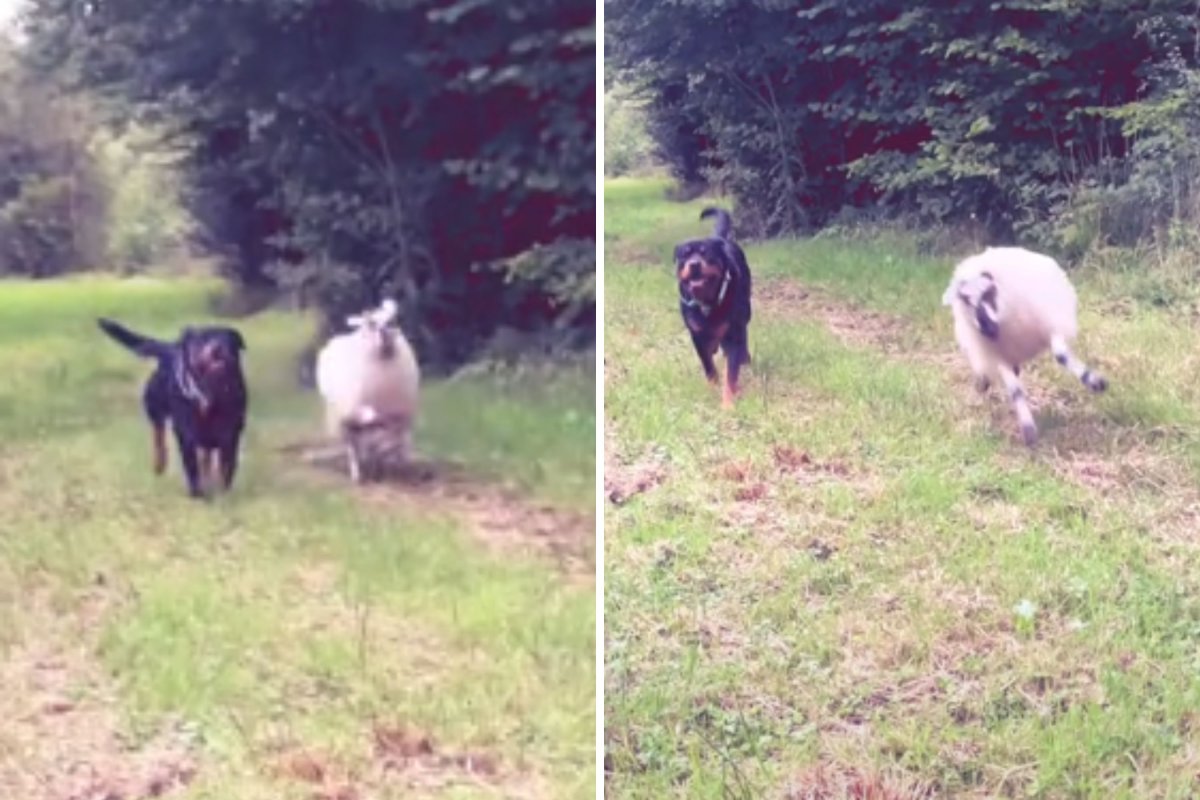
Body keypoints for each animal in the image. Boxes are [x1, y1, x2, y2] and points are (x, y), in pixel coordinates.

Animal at [97, 319, 248, 501]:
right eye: (200, 340)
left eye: (226, 339)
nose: (217, 346)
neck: (210, 392)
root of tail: (170, 348)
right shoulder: (186, 434)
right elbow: (192, 467)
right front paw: (198, 493)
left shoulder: (230, 434)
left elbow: (226, 466)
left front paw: (221, 492)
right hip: (154, 402)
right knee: (158, 433)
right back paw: (160, 463)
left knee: (206, 456)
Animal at [314, 298, 422, 482]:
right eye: (372, 323)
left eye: (392, 320)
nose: (386, 335)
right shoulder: (358, 411)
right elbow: (374, 438)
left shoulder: (399, 415)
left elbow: (393, 442)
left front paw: (387, 462)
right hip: (344, 417)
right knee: (352, 445)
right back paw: (358, 472)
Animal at [676, 208, 748, 407]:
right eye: (685, 255)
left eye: (705, 253)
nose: (694, 264)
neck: (707, 302)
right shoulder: (696, 335)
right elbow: (707, 363)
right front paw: (712, 386)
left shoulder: (733, 334)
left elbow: (731, 373)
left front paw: (728, 403)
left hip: (746, 312)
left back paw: (745, 357)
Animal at [940, 247, 1108, 448]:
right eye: (966, 300)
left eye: (989, 292)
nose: (988, 328)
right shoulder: (998, 357)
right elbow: (1015, 391)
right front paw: (1029, 431)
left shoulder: (1051, 327)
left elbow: (1061, 355)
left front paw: (1095, 382)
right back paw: (982, 385)